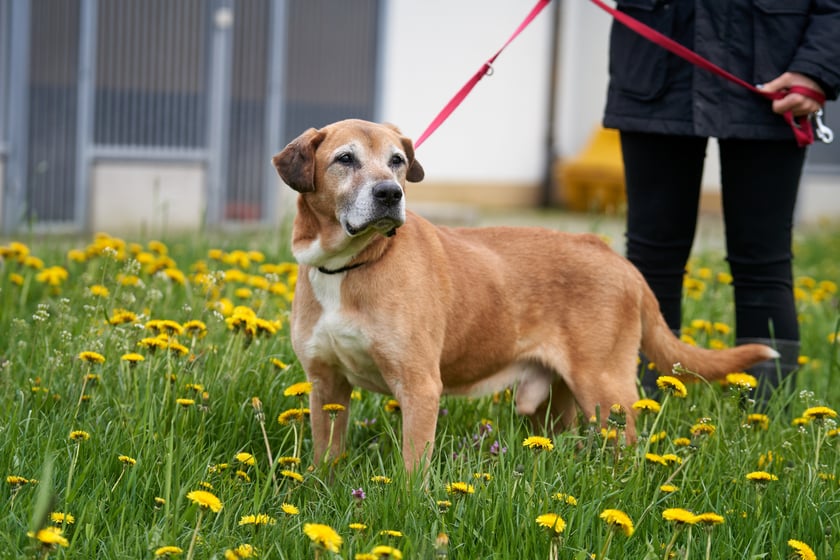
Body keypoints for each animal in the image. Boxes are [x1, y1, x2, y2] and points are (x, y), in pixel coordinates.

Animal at [272, 119, 776, 472]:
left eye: (397, 160)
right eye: (345, 159)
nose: (390, 194)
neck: (348, 265)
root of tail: (616, 259)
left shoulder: (419, 387)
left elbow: (412, 473)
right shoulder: (327, 385)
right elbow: (325, 460)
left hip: (604, 390)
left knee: (627, 449)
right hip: (553, 404)